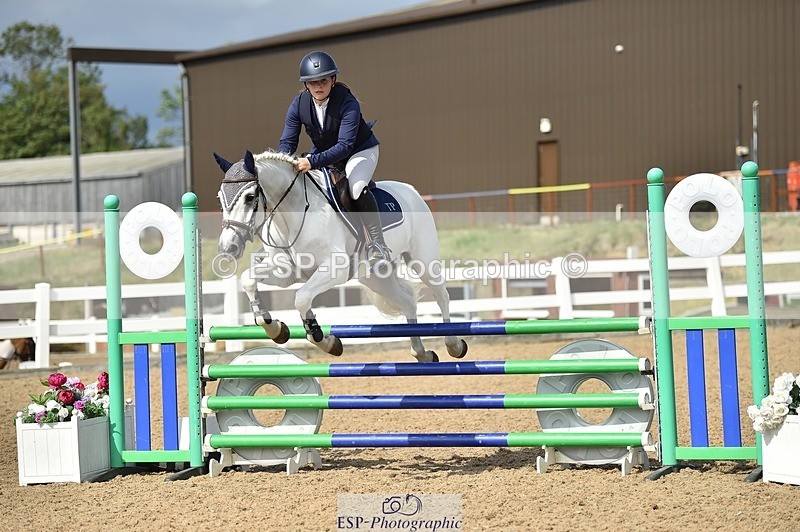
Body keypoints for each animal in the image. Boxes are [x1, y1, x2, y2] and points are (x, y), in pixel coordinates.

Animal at [214, 149, 468, 363]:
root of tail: (411, 190)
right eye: (220, 198)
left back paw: (453, 344)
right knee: (407, 301)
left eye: (249, 197)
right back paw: (421, 353)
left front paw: (324, 340)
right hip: (374, 277)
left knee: (441, 295)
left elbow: (302, 298)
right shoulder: (285, 273)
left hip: (422, 260)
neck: (293, 215)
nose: (228, 248)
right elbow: (248, 280)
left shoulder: (334, 269)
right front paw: (274, 328)